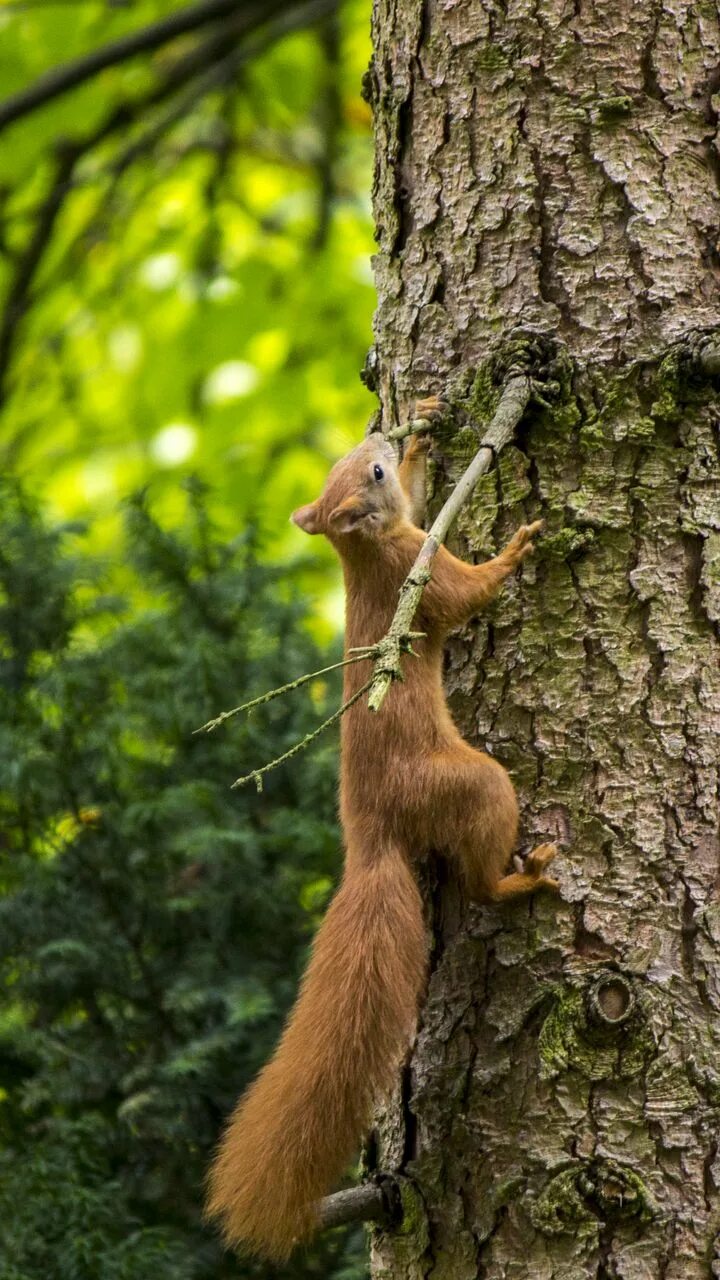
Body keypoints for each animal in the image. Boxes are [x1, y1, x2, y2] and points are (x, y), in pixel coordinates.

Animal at [204, 404, 558, 1264]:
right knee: (478, 881)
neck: (363, 555)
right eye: (367, 474)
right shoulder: (416, 573)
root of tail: (369, 839)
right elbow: (465, 595)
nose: (381, 440)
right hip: (471, 785)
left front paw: (427, 438)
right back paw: (522, 877)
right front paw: (516, 549)